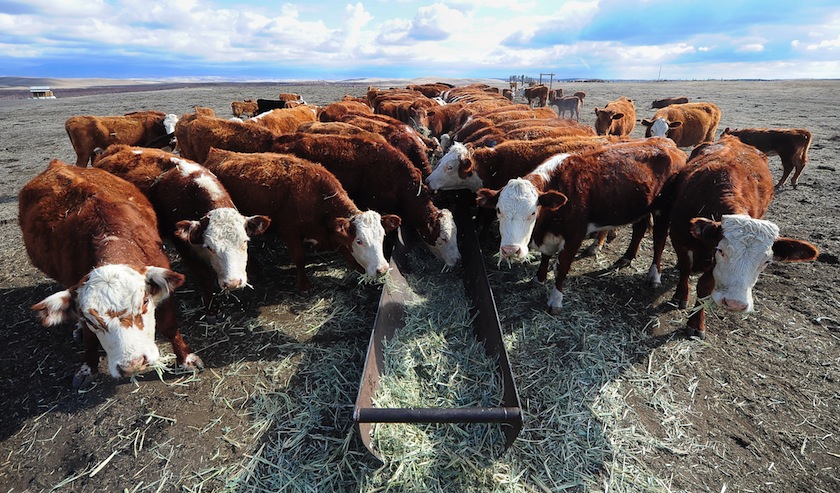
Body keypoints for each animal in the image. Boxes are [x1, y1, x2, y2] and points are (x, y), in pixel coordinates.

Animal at [19, 160, 202, 387]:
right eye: (91, 320)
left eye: (144, 302)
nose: (132, 364)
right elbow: (90, 338)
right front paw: (87, 367)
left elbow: (169, 326)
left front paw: (186, 359)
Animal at [93, 145, 271, 316]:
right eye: (209, 247)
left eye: (244, 242)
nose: (233, 283)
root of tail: (114, 148)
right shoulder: (184, 247)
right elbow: (204, 276)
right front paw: (212, 308)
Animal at [203, 148, 401, 293]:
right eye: (359, 241)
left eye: (382, 237)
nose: (382, 269)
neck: (318, 198)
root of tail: (216, 152)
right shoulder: (290, 232)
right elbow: (300, 257)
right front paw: (303, 285)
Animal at [474, 137, 688, 314]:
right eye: (499, 210)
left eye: (533, 212)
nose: (511, 250)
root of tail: (668, 143)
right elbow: (545, 257)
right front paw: (538, 278)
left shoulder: (574, 236)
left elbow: (561, 268)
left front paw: (555, 301)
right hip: (642, 208)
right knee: (639, 230)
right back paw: (626, 257)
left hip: (663, 209)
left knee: (659, 240)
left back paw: (654, 275)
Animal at [649, 135, 818, 337]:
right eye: (722, 251)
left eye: (767, 261)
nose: (735, 303)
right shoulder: (680, 239)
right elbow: (685, 268)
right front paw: (680, 296)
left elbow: (705, 285)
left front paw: (696, 323)